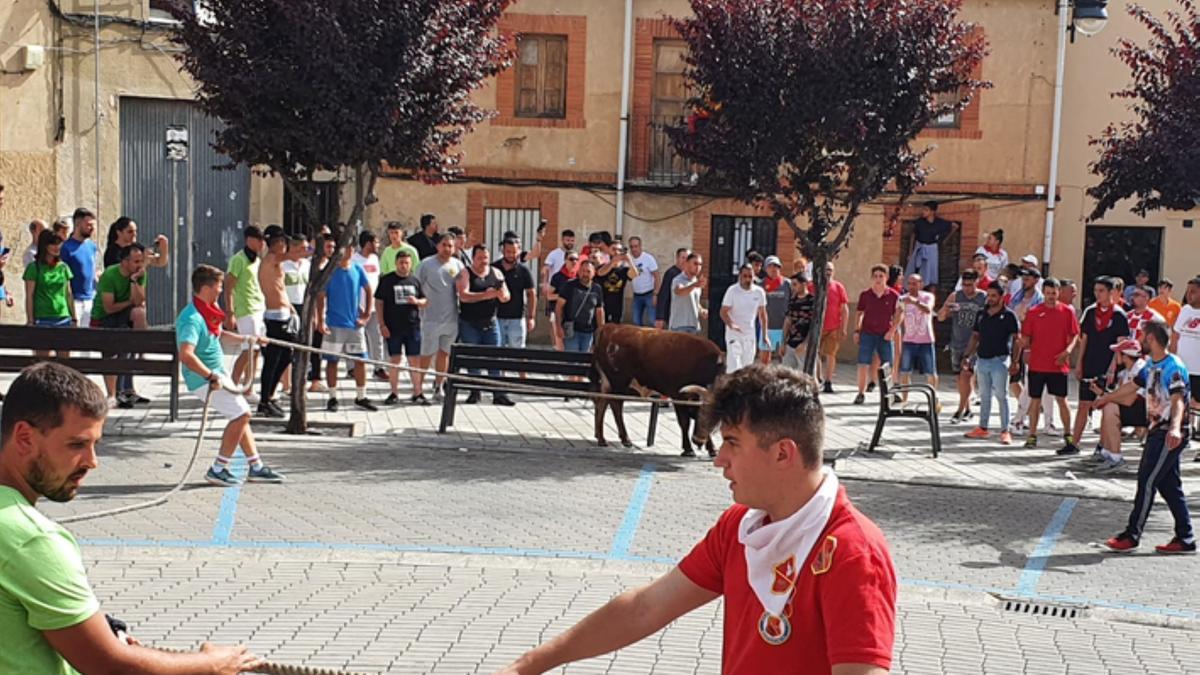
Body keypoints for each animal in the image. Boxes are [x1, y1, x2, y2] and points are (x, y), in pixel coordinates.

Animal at [590, 324, 720, 454]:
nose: (698, 441)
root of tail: (609, 327)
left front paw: (712, 448)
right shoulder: (677, 396)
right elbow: (684, 422)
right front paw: (688, 448)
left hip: (608, 383)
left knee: (602, 402)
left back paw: (601, 438)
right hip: (619, 382)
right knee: (615, 405)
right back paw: (625, 439)